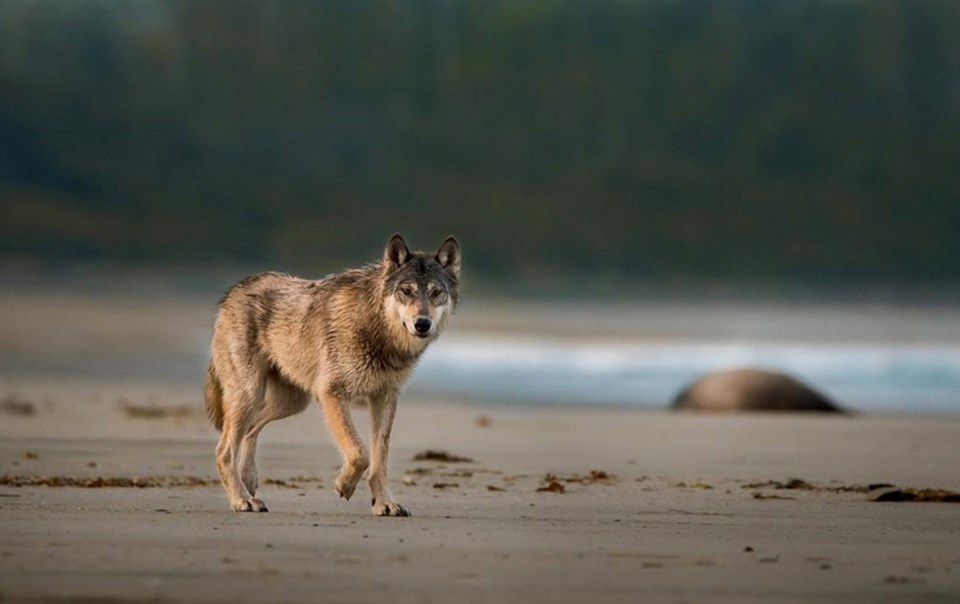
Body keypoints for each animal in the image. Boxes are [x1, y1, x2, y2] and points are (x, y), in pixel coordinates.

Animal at [203, 234, 462, 516]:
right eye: (407, 291)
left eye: (436, 293)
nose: (422, 324)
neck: (378, 331)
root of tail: (233, 291)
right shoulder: (331, 393)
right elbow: (360, 453)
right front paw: (344, 485)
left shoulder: (385, 398)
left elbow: (379, 461)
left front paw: (384, 503)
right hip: (252, 395)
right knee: (224, 449)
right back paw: (241, 500)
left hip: (291, 403)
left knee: (249, 430)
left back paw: (249, 480)